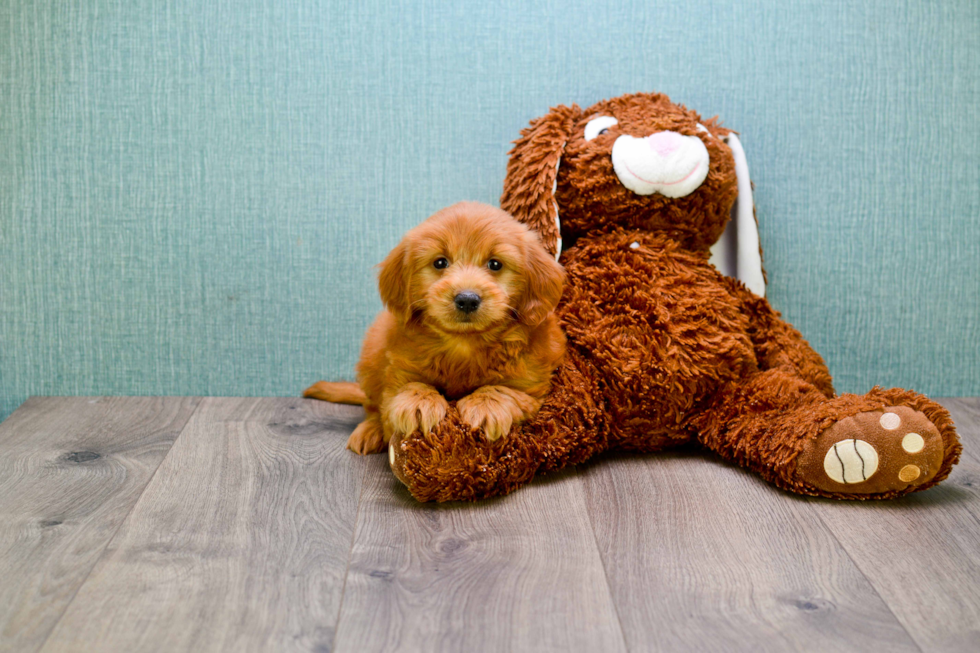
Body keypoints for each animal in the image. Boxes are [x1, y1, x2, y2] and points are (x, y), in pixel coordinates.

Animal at [306, 200, 568, 454]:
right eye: (440, 262)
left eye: (495, 264)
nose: (467, 299)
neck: (464, 342)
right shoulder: (398, 373)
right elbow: (406, 389)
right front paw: (418, 402)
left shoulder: (531, 388)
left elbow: (504, 390)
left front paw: (486, 406)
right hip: (372, 354)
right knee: (371, 406)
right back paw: (370, 431)